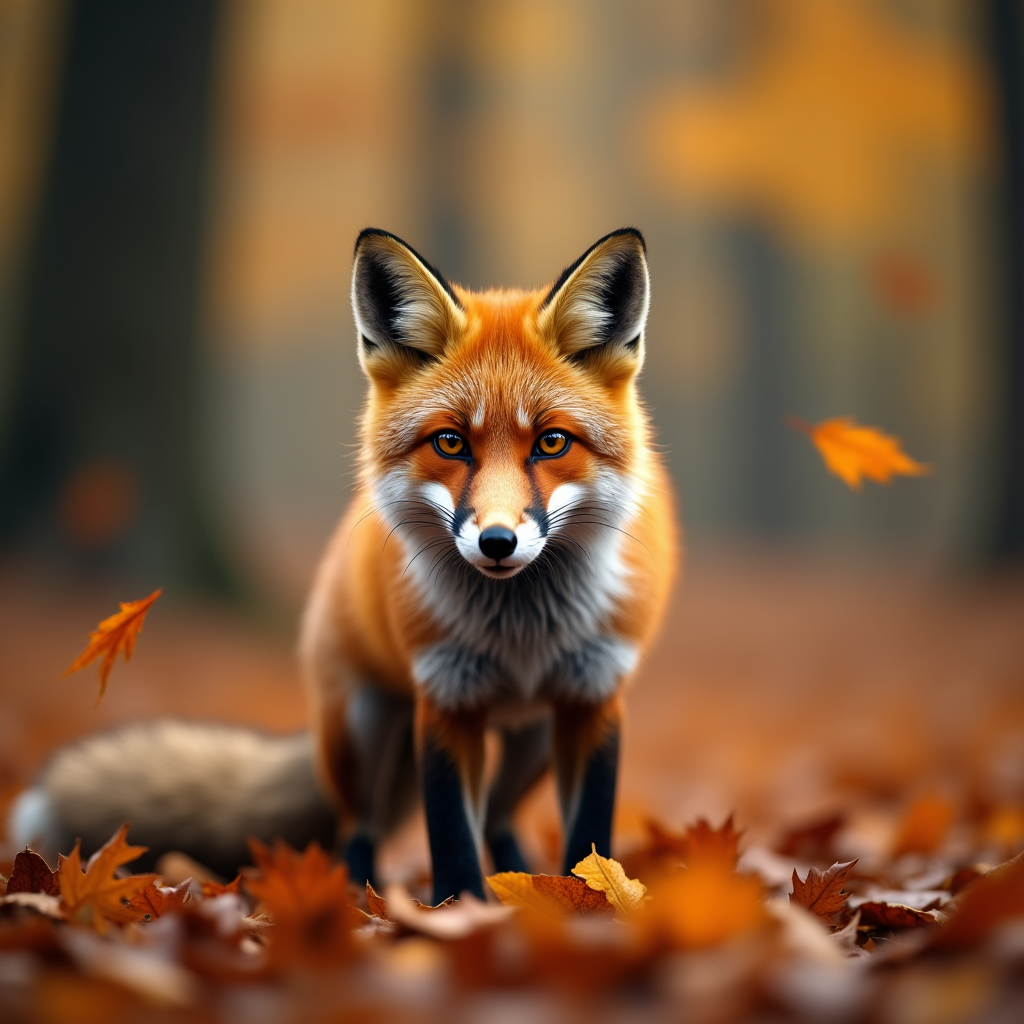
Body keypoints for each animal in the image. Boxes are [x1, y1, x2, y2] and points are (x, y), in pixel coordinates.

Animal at [8, 228, 676, 902]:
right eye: (451, 442)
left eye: (552, 442)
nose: (496, 542)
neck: (520, 633)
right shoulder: (444, 694)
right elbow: (449, 832)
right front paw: (459, 907)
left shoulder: (595, 695)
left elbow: (587, 832)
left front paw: (588, 902)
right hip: (361, 729)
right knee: (362, 823)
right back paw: (355, 895)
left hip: (531, 741)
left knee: (498, 814)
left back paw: (526, 883)